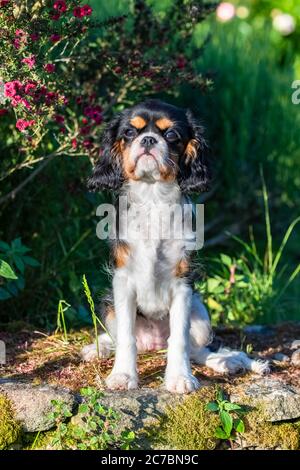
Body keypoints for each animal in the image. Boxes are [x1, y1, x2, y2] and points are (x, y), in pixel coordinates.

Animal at [80, 99, 270, 392]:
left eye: (171, 135)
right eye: (129, 133)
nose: (148, 139)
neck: (153, 196)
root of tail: (153, 345)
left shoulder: (182, 283)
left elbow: (179, 340)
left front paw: (180, 378)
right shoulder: (122, 281)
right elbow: (126, 337)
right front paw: (123, 375)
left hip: (200, 315)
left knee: (198, 349)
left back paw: (226, 362)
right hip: (109, 306)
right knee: (117, 336)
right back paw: (97, 349)